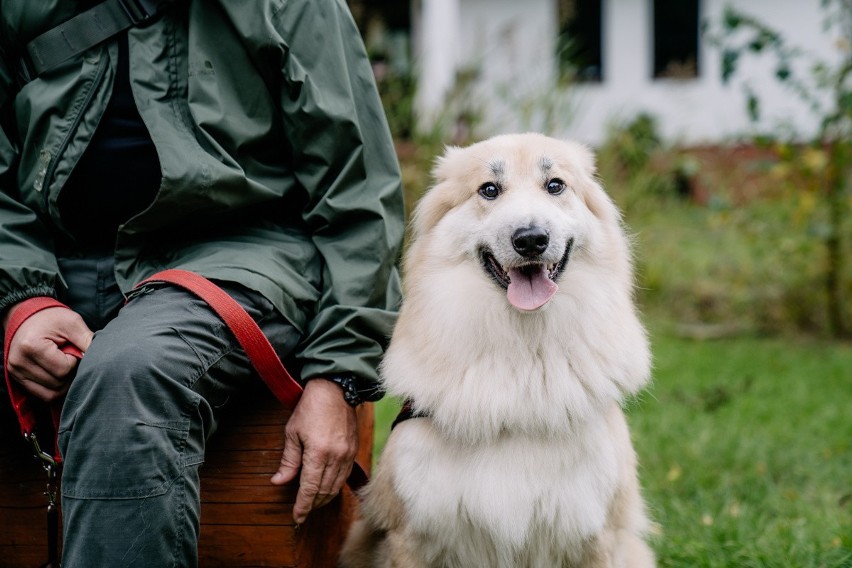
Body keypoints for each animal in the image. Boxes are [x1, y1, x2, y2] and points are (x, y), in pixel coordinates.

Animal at [340, 134, 652, 568]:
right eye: (489, 190)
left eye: (555, 185)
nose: (531, 239)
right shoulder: (412, 536)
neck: (522, 355)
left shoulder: (594, 536)